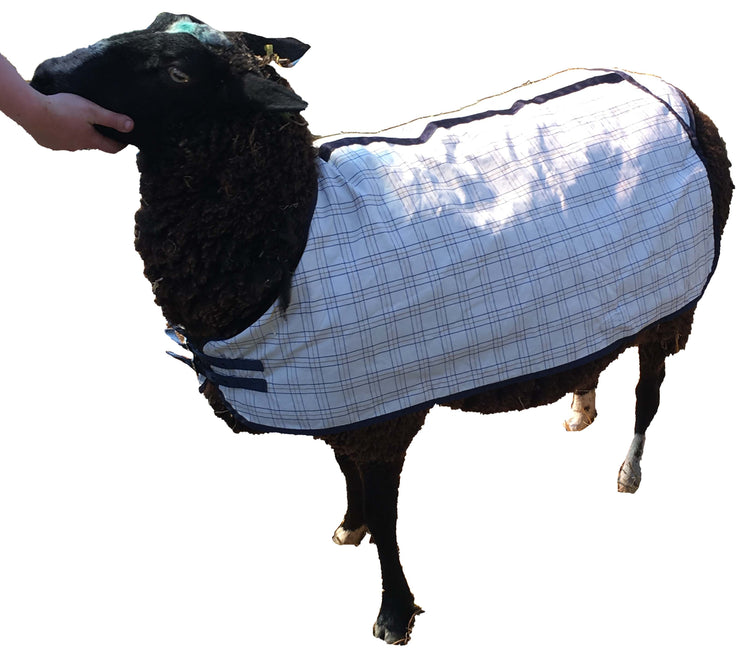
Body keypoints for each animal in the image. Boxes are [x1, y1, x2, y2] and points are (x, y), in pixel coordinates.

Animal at [30, 13, 733, 645]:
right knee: (597, 348)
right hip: (606, 295)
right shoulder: (344, 395)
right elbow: (346, 472)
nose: (43, 75)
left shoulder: (386, 412)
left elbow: (390, 521)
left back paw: (628, 471)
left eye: (178, 73)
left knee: (648, 394)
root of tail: (676, 96)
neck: (288, 234)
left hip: (674, 304)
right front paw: (349, 523)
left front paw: (394, 612)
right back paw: (580, 405)